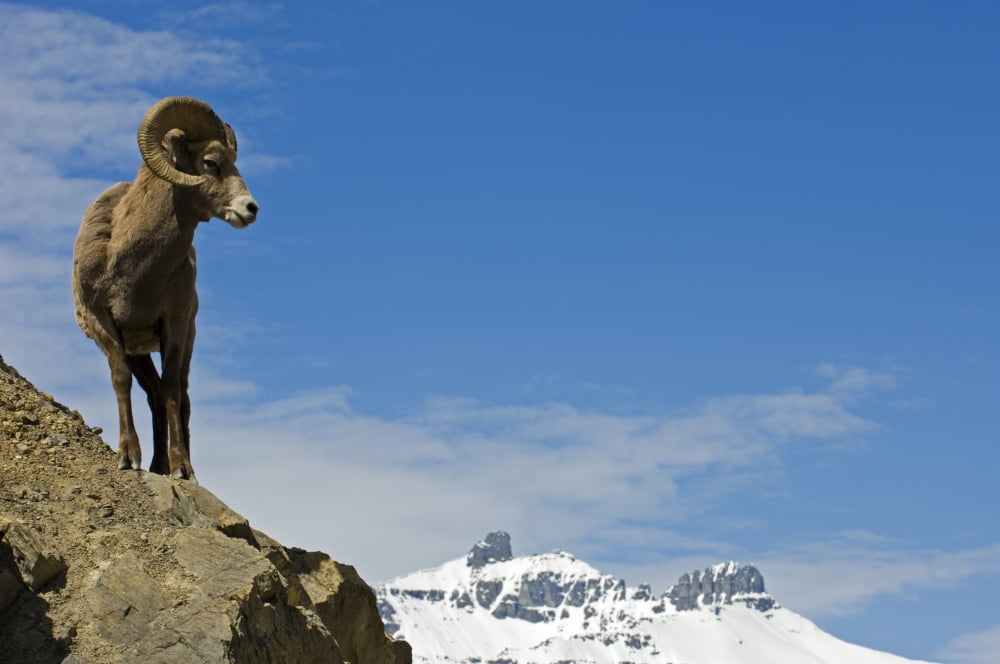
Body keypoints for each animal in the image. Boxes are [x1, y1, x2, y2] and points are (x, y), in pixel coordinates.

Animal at [72, 96, 259, 480]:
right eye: (211, 162)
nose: (250, 209)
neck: (132, 275)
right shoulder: (106, 325)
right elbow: (121, 381)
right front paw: (128, 457)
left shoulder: (174, 324)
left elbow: (173, 391)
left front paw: (181, 469)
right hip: (139, 352)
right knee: (152, 395)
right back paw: (155, 465)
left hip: (184, 340)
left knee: (177, 396)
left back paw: (172, 466)